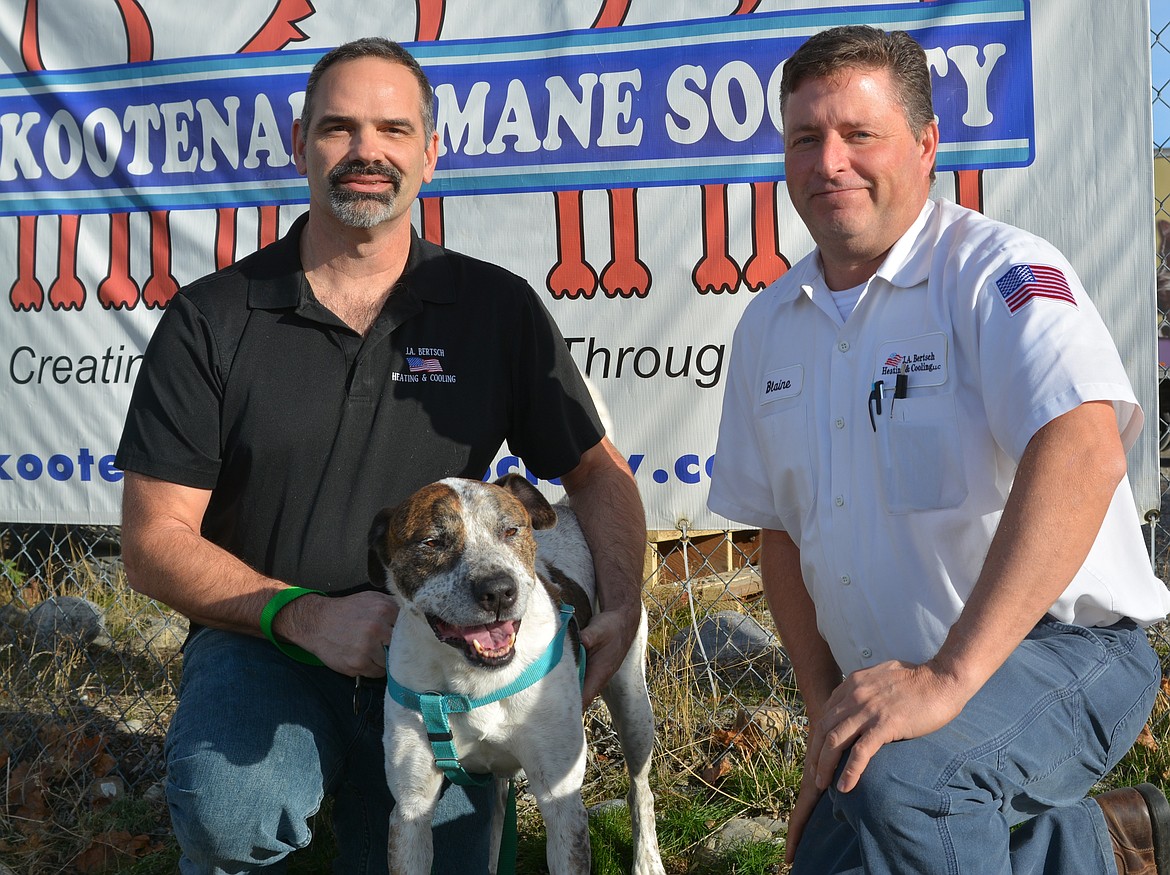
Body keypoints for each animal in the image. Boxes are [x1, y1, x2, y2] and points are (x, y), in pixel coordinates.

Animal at [369, 474, 664, 875]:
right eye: (432, 542)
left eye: (510, 530)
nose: (498, 591)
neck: (474, 679)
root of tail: (566, 509)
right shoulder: (411, 808)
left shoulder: (561, 800)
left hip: (632, 706)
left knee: (640, 789)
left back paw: (647, 861)